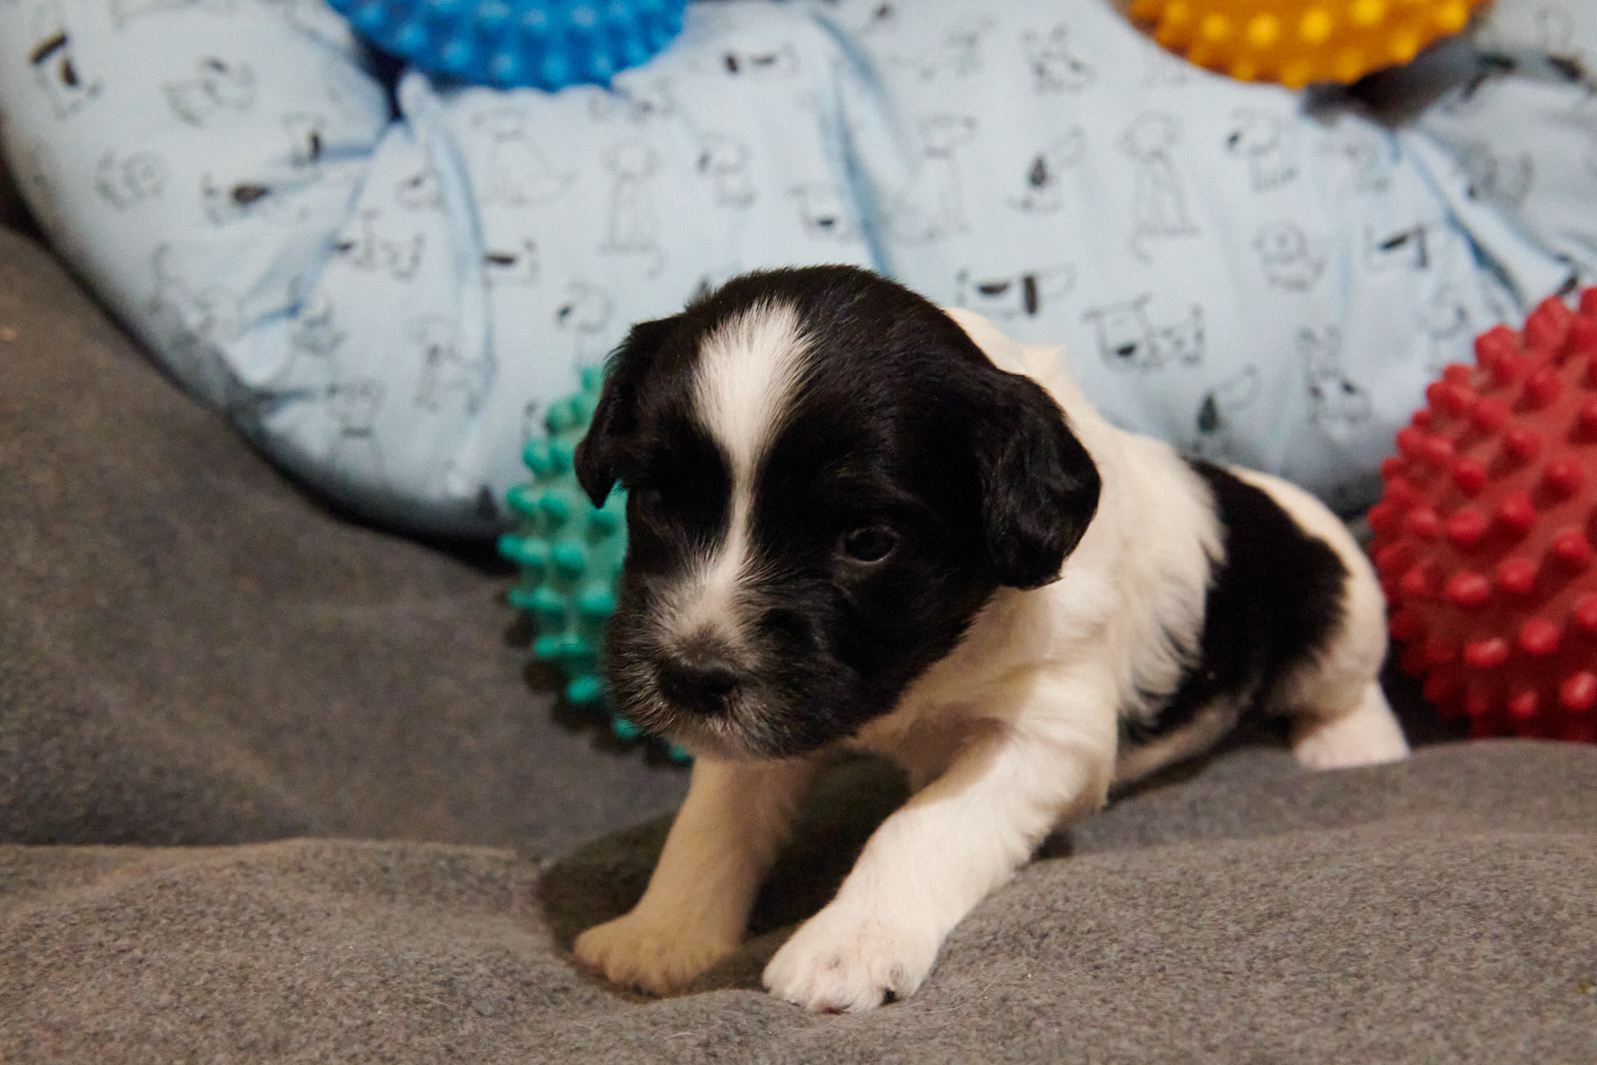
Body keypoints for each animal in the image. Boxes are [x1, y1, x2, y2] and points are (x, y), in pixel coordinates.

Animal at [568, 266, 1405, 1015]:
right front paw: (662, 932)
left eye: (867, 542)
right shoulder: (769, 717)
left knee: (1348, 682)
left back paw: (1353, 743)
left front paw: (847, 943)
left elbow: (920, 824)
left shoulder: (1047, 731)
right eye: (654, 502)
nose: (687, 676)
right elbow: (716, 815)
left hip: (1339, 613)